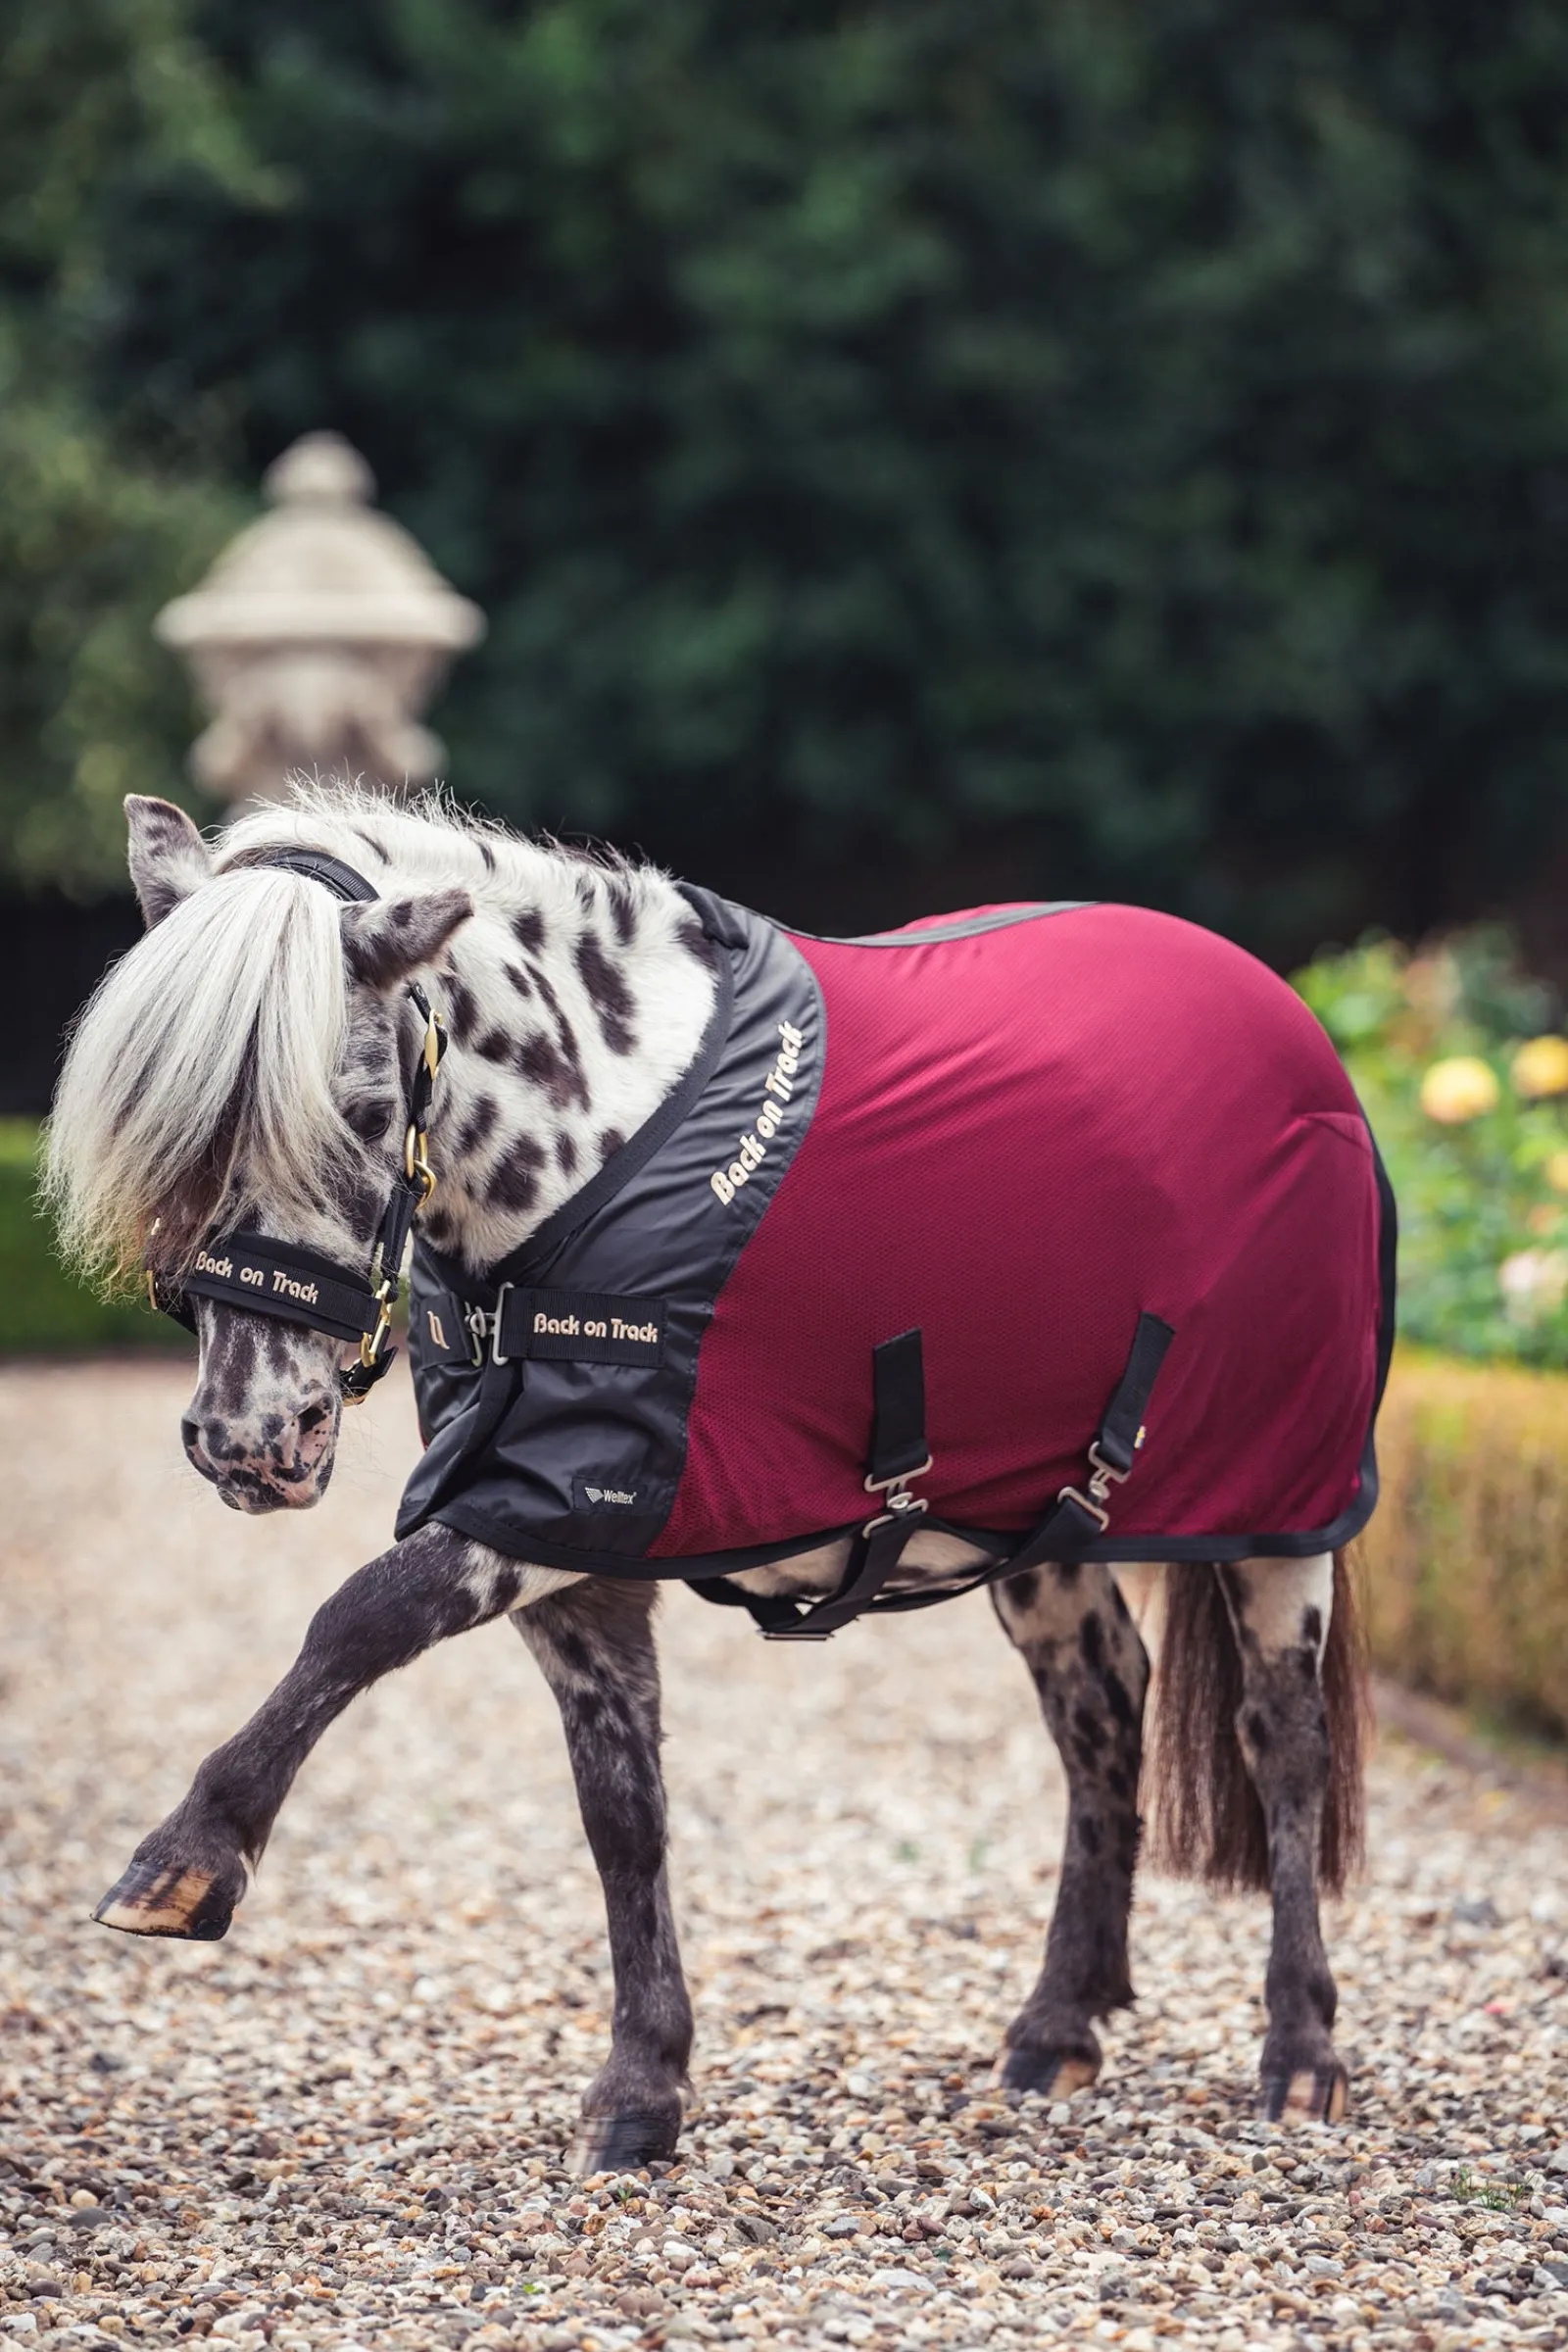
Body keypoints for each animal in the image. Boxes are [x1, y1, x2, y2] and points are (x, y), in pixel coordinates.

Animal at [45, 786, 1386, 2174]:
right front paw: (643, 2088)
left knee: (1282, 1742)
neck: (594, 1149)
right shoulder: (579, 1554)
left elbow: (355, 1620)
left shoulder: (547, 1508)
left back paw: (1299, 2055)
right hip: (1036, 1532)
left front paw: (187, 1859)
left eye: (360, 1109)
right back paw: (1057, 2027)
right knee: (1102, 1709)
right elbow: (621, 1813)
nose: (249, 1439)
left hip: (1280, 1517)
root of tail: (1285, 1013)